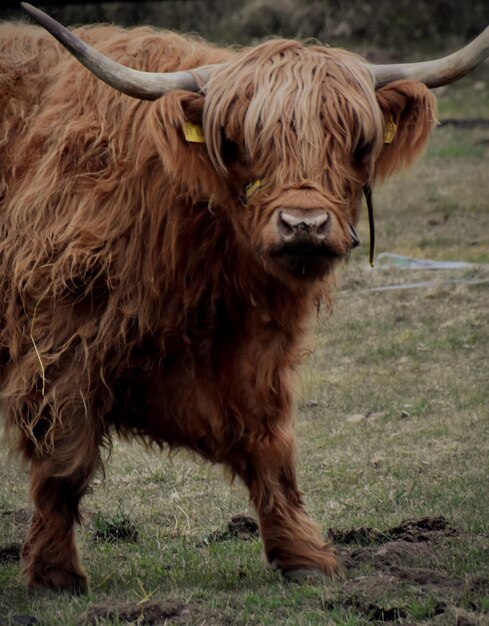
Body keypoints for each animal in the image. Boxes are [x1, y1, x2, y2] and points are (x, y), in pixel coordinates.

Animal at [0, 3, 486, 588]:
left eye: (356, 143)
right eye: (238, 143)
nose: (305, 225)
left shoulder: (254, 352)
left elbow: (269, 446)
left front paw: (304, 556)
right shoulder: (58, 338)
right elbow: (63, 459)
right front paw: (55, 575)